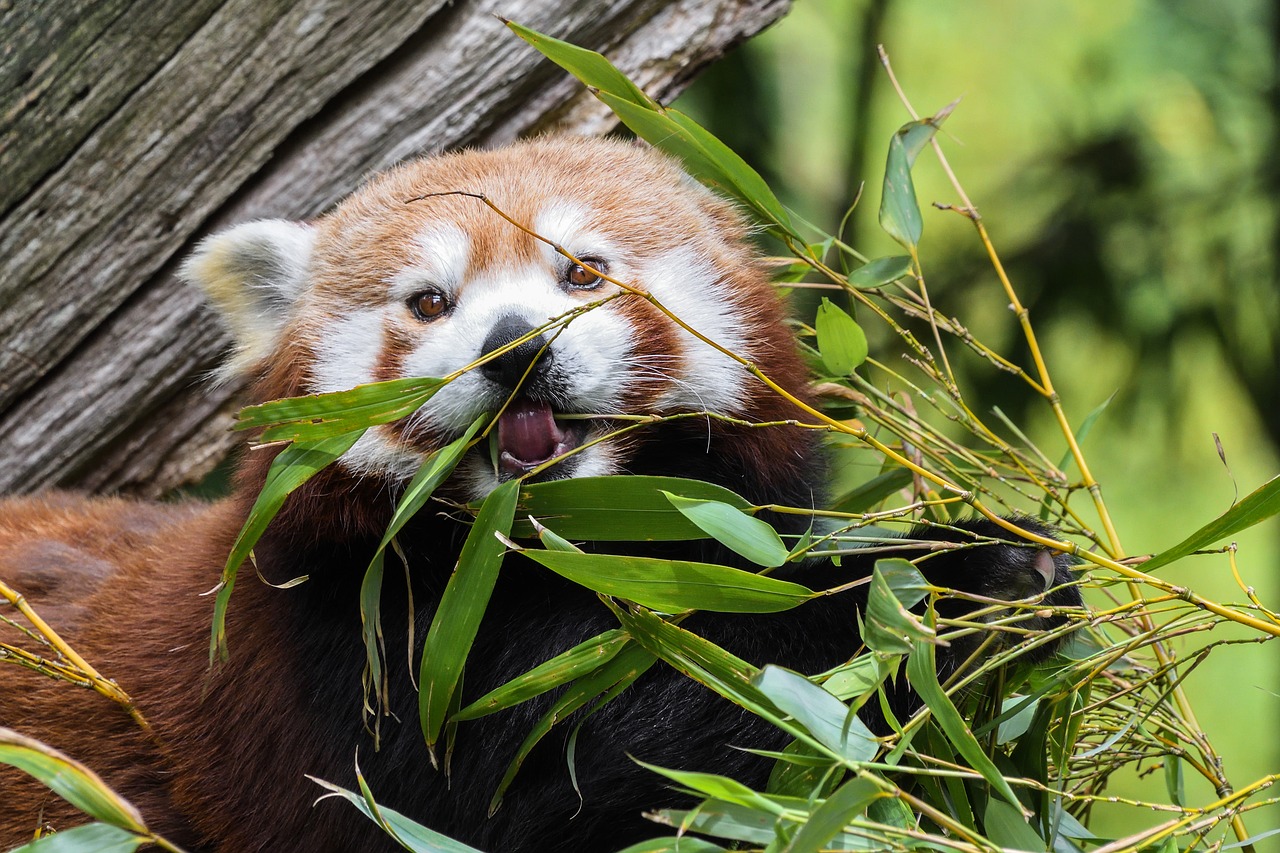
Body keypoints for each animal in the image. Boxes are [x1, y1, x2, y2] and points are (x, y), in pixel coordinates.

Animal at [0, 139, 1080, 850]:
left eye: (582, 271)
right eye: (429, 301)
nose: (514, 346)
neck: (556, 542)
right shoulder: (358, 666)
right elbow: (609, 749)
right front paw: (950, 581)